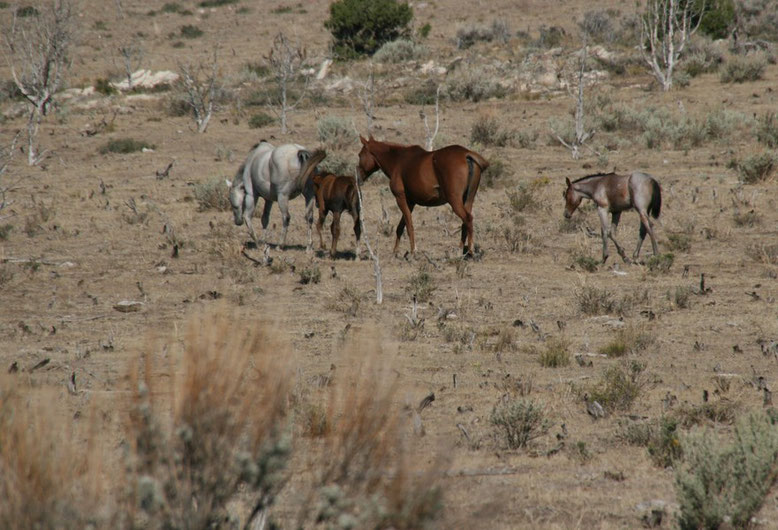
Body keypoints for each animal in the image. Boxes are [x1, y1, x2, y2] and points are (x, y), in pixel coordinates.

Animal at [356, 134, 484, 254]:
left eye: (360, 155)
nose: (358, 178)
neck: (398, 160)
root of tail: (466, 154)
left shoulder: (400, 199)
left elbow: (409, 226)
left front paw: (413, 251)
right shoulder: (410, 202)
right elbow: (400, 227)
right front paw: (395, 252)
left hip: (455, 201)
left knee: (468, 219)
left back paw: (469, 250)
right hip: (468, 200)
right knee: (465, 222)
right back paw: (460, 251)